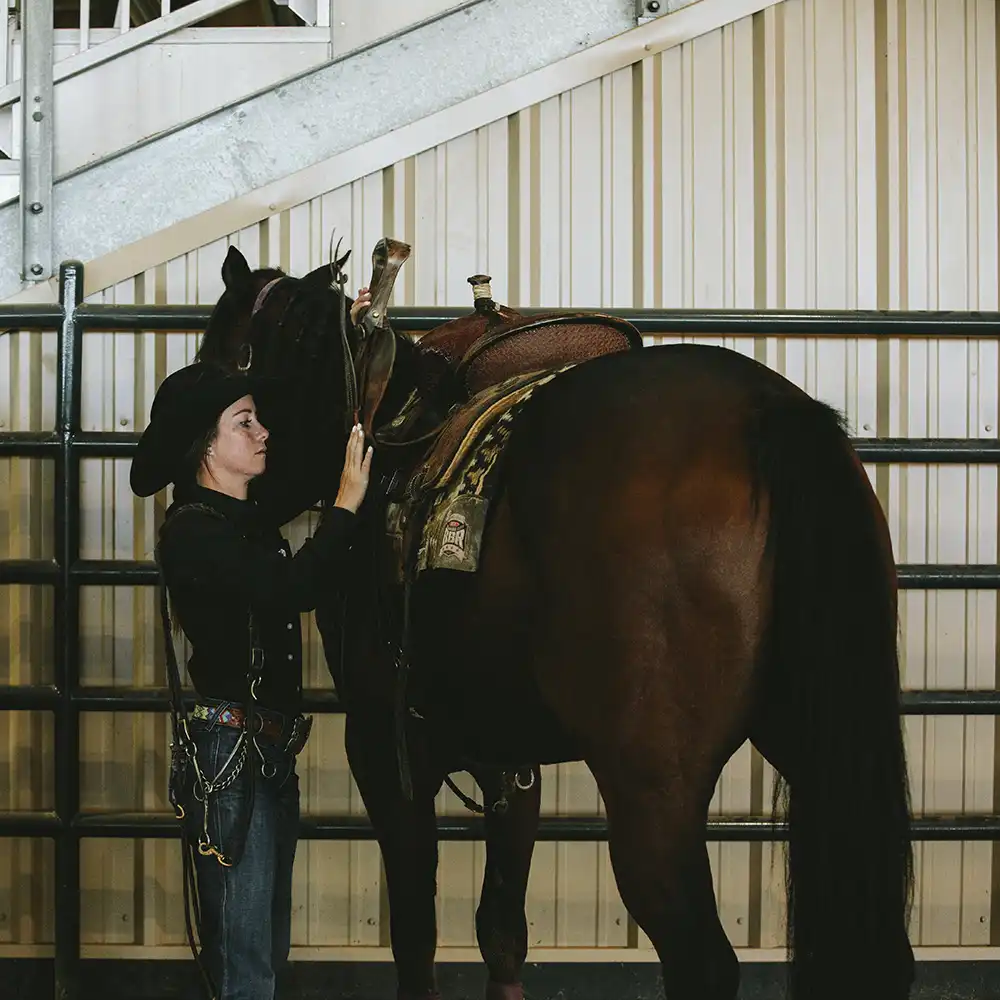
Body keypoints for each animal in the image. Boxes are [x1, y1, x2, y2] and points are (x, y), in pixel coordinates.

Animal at [194, 239, 916, 1000]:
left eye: (222, 371)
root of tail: (767, 409)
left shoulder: (385, 747)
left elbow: (415, 933)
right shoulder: (509, 760)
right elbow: (501, 930)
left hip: (651, 790)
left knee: (703, 962)